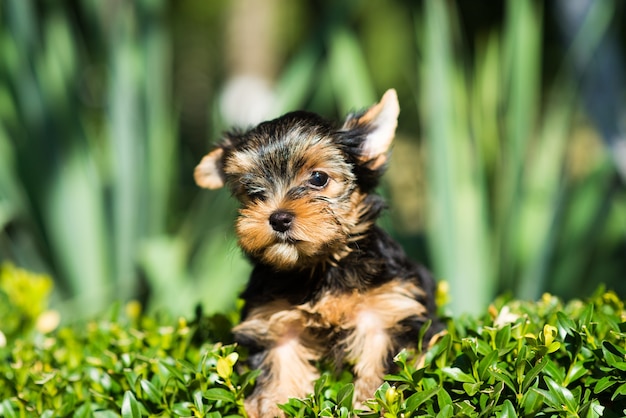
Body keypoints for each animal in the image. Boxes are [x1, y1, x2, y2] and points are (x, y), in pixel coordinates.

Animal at [193, 90, 442, 416]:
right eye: (252, 191)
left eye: (319, 178)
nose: (278, 218)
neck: (322, 266)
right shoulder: (274, 322)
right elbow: (280, 371)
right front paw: (273, 406)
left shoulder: (387, 312)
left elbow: (382, 368)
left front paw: (373, 404)